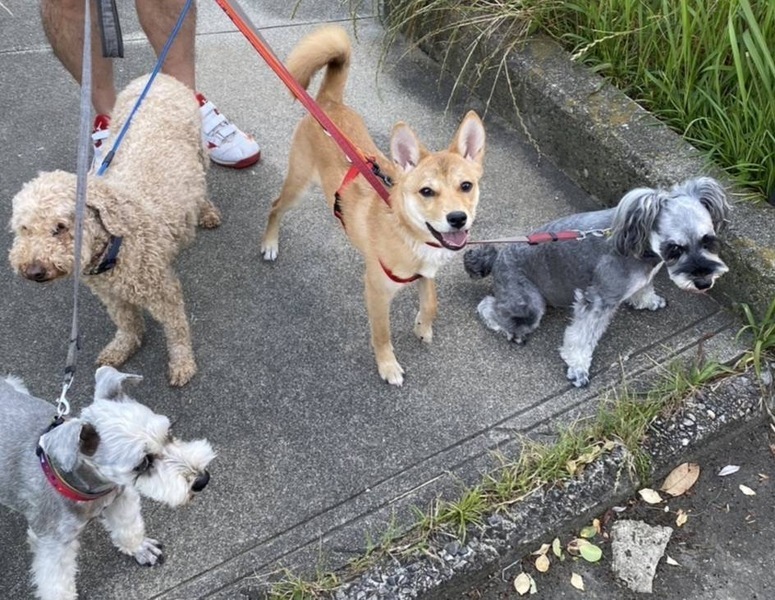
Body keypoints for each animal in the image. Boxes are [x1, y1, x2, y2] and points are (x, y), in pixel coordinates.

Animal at [0, 366, 215, 600]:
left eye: (169, 432)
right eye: (142, 463)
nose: (202, 480)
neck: (90, 488)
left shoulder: (120, 498)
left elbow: (128, 527)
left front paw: (140, 548)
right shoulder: (52, 546)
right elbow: (58, 586)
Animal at [9, 74, 221, 387]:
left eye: (60, 227)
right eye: (24, 229)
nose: (33, 271)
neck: (115, 245)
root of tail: (157, 77)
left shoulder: (163, 292)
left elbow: (177, 330)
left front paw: (182, 363)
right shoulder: (111, 295)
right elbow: (127, 323)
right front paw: (123, 347)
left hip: (199, 151)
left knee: (201, 185)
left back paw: (205, 212)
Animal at [260, 25, 486, 386]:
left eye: (466, 186)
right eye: (426, 191)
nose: (457, 219)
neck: (408, 233)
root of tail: (329, 104)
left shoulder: (426, 273)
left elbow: (431, 303)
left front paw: (422, 325)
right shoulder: (377, 291)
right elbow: (382, 334)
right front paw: (387, 365)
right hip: (299, 186)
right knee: (275, 206)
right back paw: (270, 242)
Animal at [464, 177, 730, 387]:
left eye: (708, 241)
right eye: (674, 248)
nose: (703, 283)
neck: (637, 243)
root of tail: (497, 257)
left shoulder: (643, 277)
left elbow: (644, 287)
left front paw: (648, 301)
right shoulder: (598, 300)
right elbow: (581, 336)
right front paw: (578, 368)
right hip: (529, 305)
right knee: (488, 306)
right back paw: (509, 330)